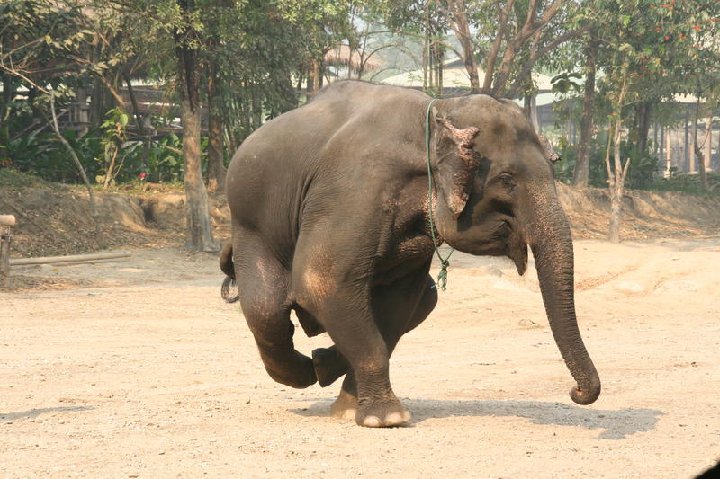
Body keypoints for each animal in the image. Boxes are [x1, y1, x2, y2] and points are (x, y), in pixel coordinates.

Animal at [221, 80, 600, 430]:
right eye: (507, 180)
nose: (576, 393)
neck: (437, 115)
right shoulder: (355, 189)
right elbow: (320, 280)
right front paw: (387, 418)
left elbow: (399, 298)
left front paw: (354, 409)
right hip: (251, 225)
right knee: (268, 311)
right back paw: (306, 369)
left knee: (426, 298)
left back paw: (323, 364)